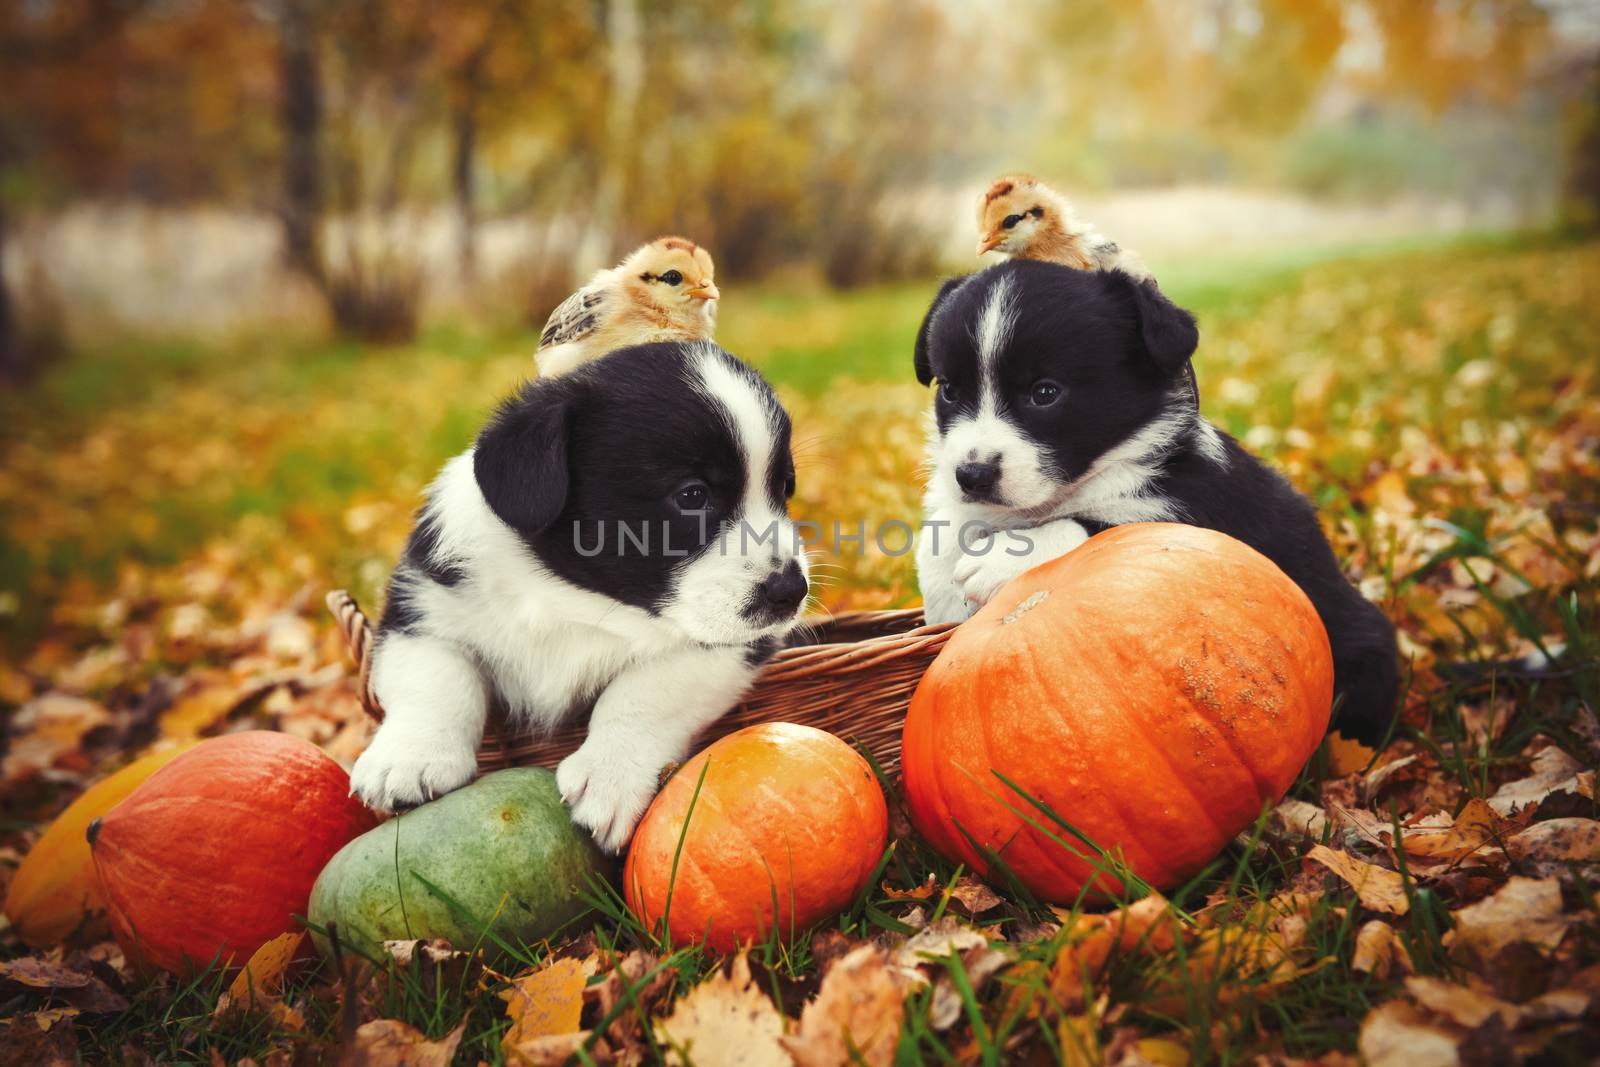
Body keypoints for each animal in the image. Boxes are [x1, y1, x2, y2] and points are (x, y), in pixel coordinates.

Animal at [358, 342, 819, 851]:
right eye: (692, 495)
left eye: (786, 487)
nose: (792, 591)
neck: (573, 594)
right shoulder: (419, 609)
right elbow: (434, 677)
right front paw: (409, 759)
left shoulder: (733, 645)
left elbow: (643, 691)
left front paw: (608, 776)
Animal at [915, 259, 1401, 742]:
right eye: (950, 391)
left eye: (1045, 392)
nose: (972, 476)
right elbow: (940, 541)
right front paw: (943, 603)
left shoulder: (1196, 510)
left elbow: (1094, 525)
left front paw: (998, 557)